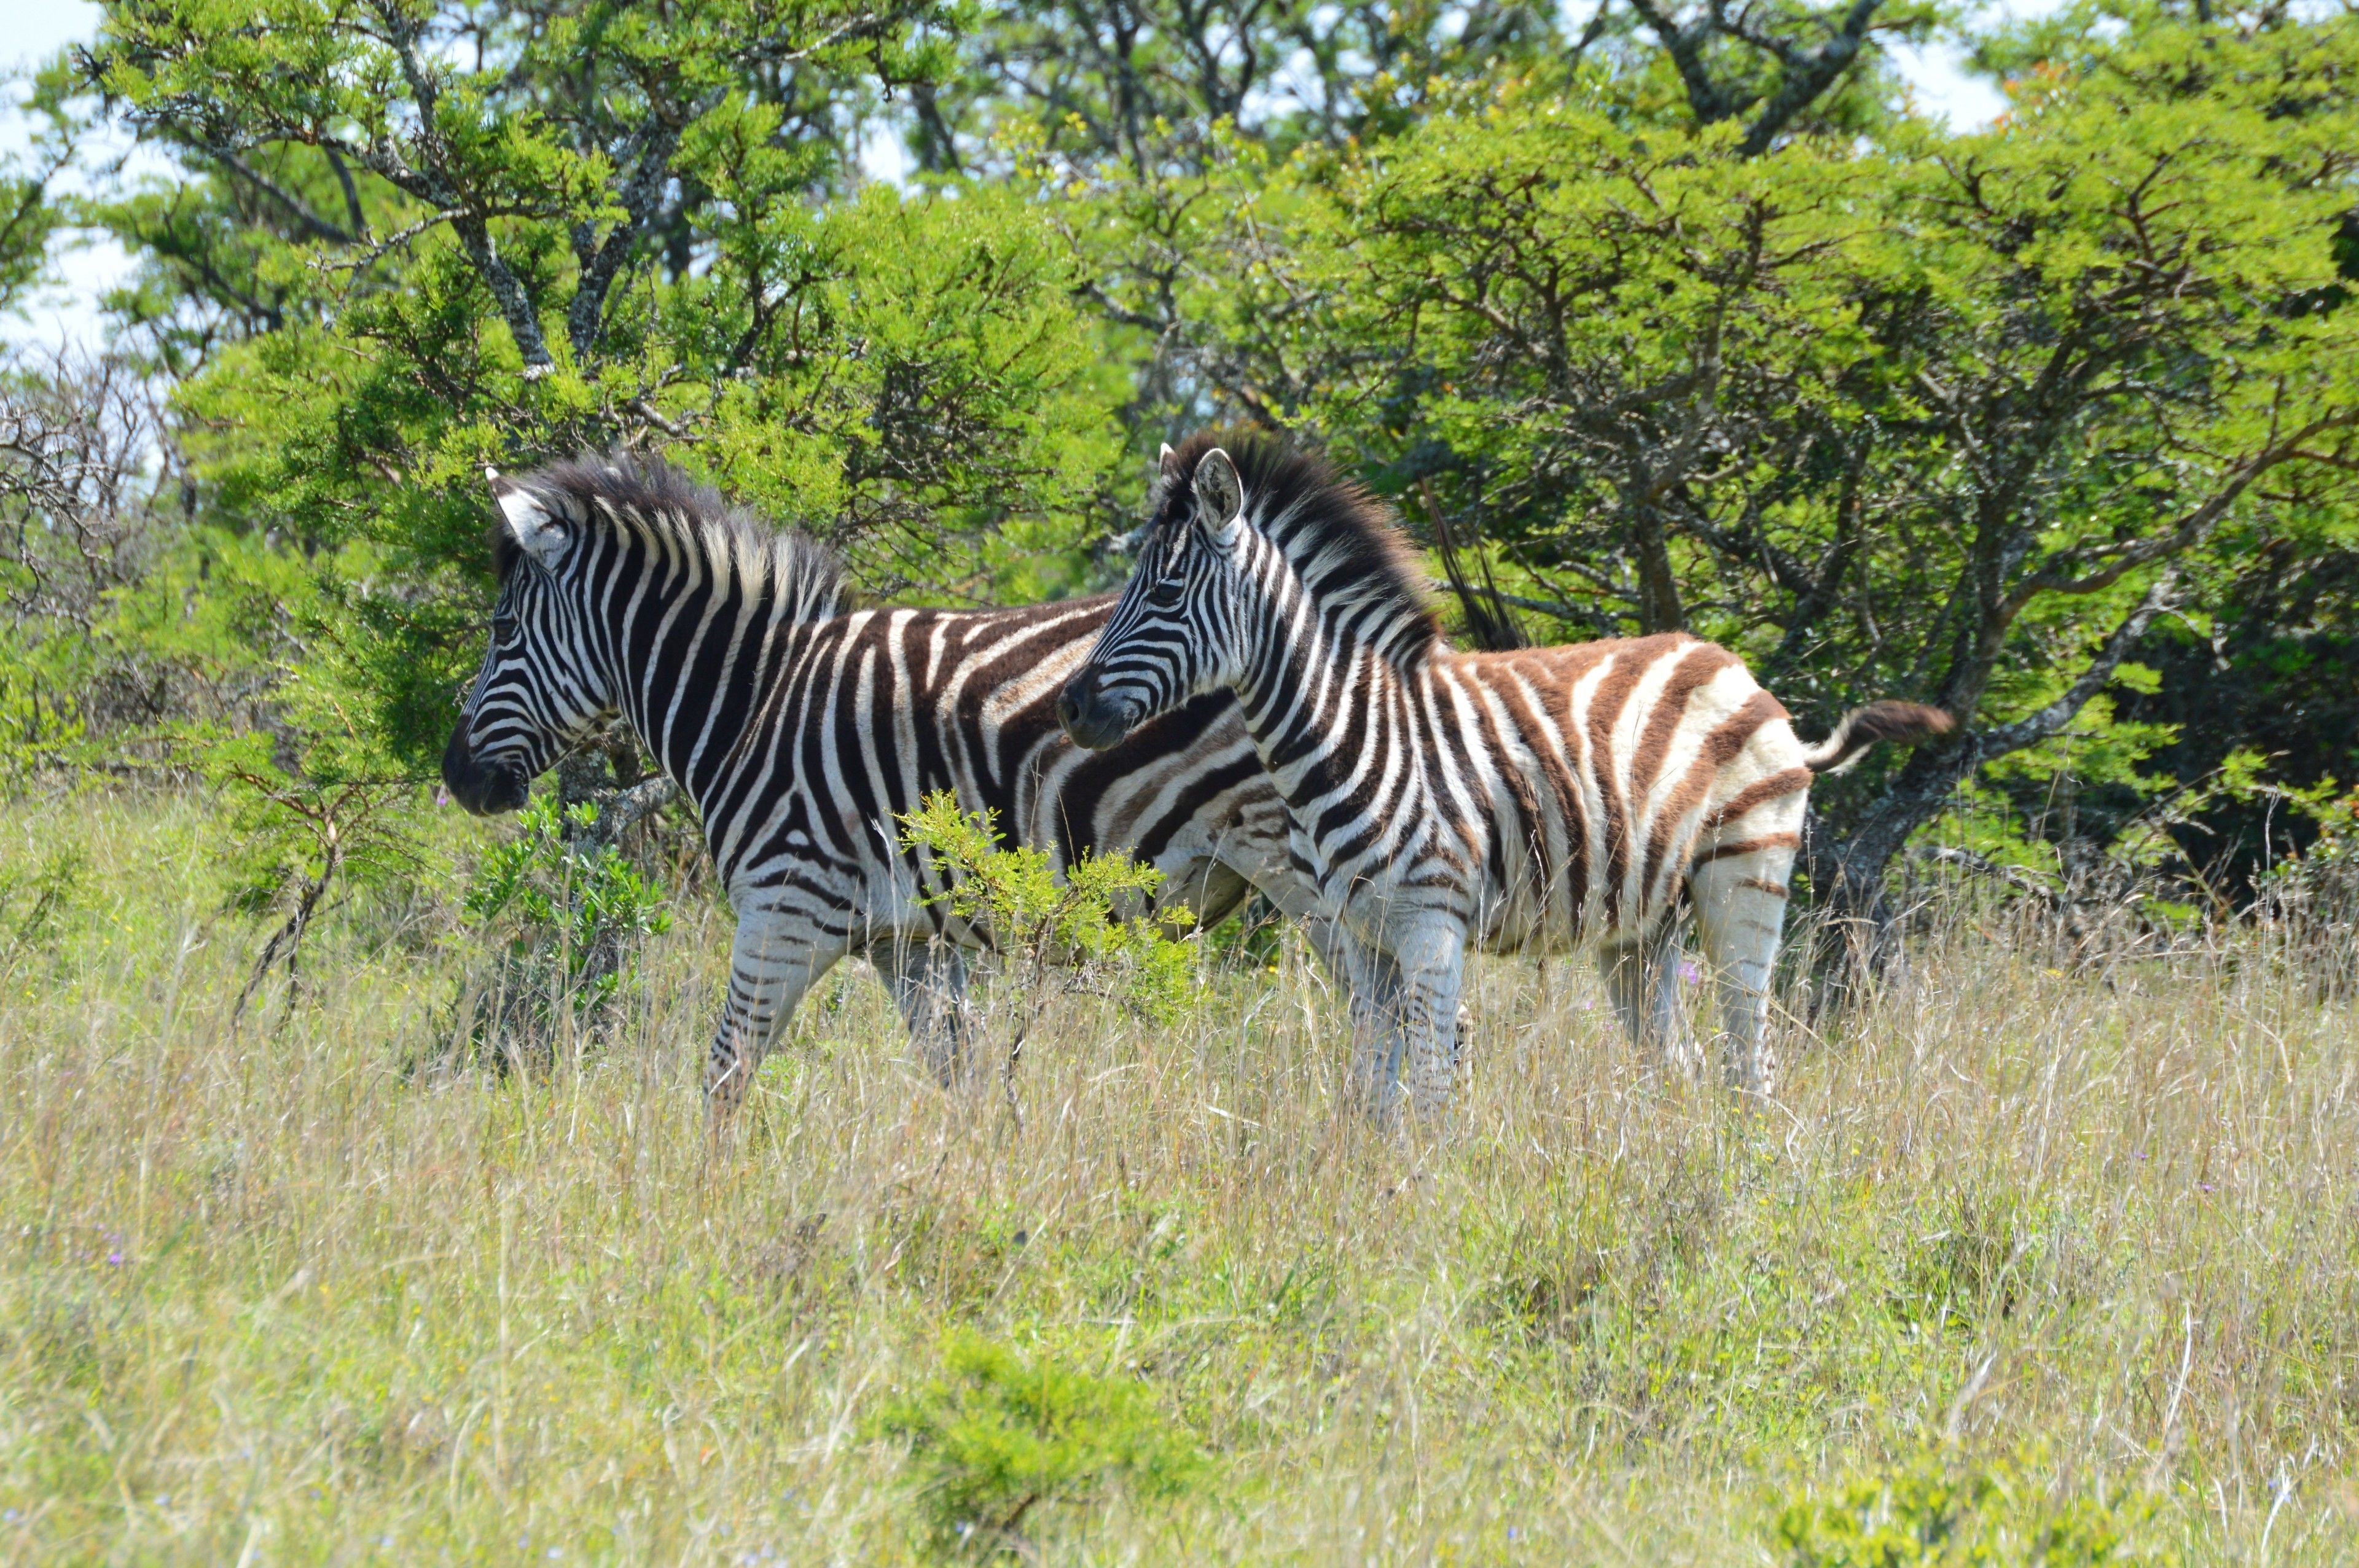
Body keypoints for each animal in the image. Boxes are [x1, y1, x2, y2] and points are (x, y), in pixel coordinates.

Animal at [439, 453, 1333, 1130]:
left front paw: (701, 1209)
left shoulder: (784, 906)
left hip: (1303, 856)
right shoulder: (907, 941)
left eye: (501, 631)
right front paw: (979, 1200)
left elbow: (725, 1077)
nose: (456, 776)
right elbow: (965, 1081)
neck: (754, 700)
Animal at [1056, 433, 1951, 1115]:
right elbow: (1378, 1090)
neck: (1356, 734)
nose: (1070, 705)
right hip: (1644, 923)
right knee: (1678, 1062)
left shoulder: (1431, 924)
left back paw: (1743, 1189)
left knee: (1749, 1061)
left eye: (1167, 593)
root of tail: (1732, 664)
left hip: (1744, 877)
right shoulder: (1362, 933)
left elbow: (1430, 1085)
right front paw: (1376, 1200)